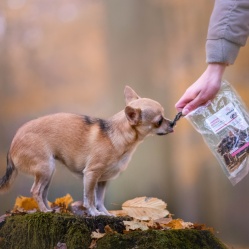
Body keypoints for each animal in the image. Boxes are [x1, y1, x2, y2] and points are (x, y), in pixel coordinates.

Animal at [0, 86, 173, 215]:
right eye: (159, 121)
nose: (172, 123)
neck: (116, 134)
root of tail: (13, 142)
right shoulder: (91, 174)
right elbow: (89, 198)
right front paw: (94, 213)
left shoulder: (102, 180)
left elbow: (100, 200)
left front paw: (105, 214)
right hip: (45, 168)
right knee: (35, 191)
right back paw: (44, 211)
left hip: (48, 172)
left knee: (42, 192)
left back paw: (50, 209)